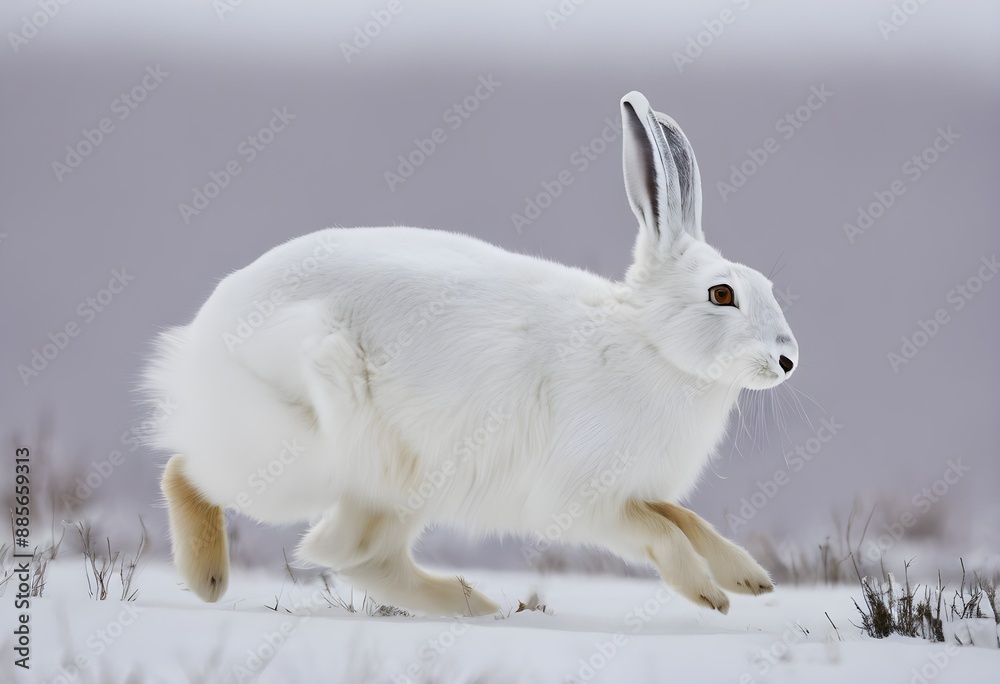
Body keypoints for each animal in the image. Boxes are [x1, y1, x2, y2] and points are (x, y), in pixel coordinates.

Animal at [145, 90, 798, 617]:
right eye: (722, 294)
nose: (788, 361)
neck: (652, 345)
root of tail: (205, 338)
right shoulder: (584, 499)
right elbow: (662, 532)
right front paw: (709, 595)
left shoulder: (637, 489)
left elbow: (686, 520)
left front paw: (750, 580)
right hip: (299, 454)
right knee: (188, 473)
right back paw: (207, 580)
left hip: (392, 484)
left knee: (352, 552)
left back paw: (472, 605)